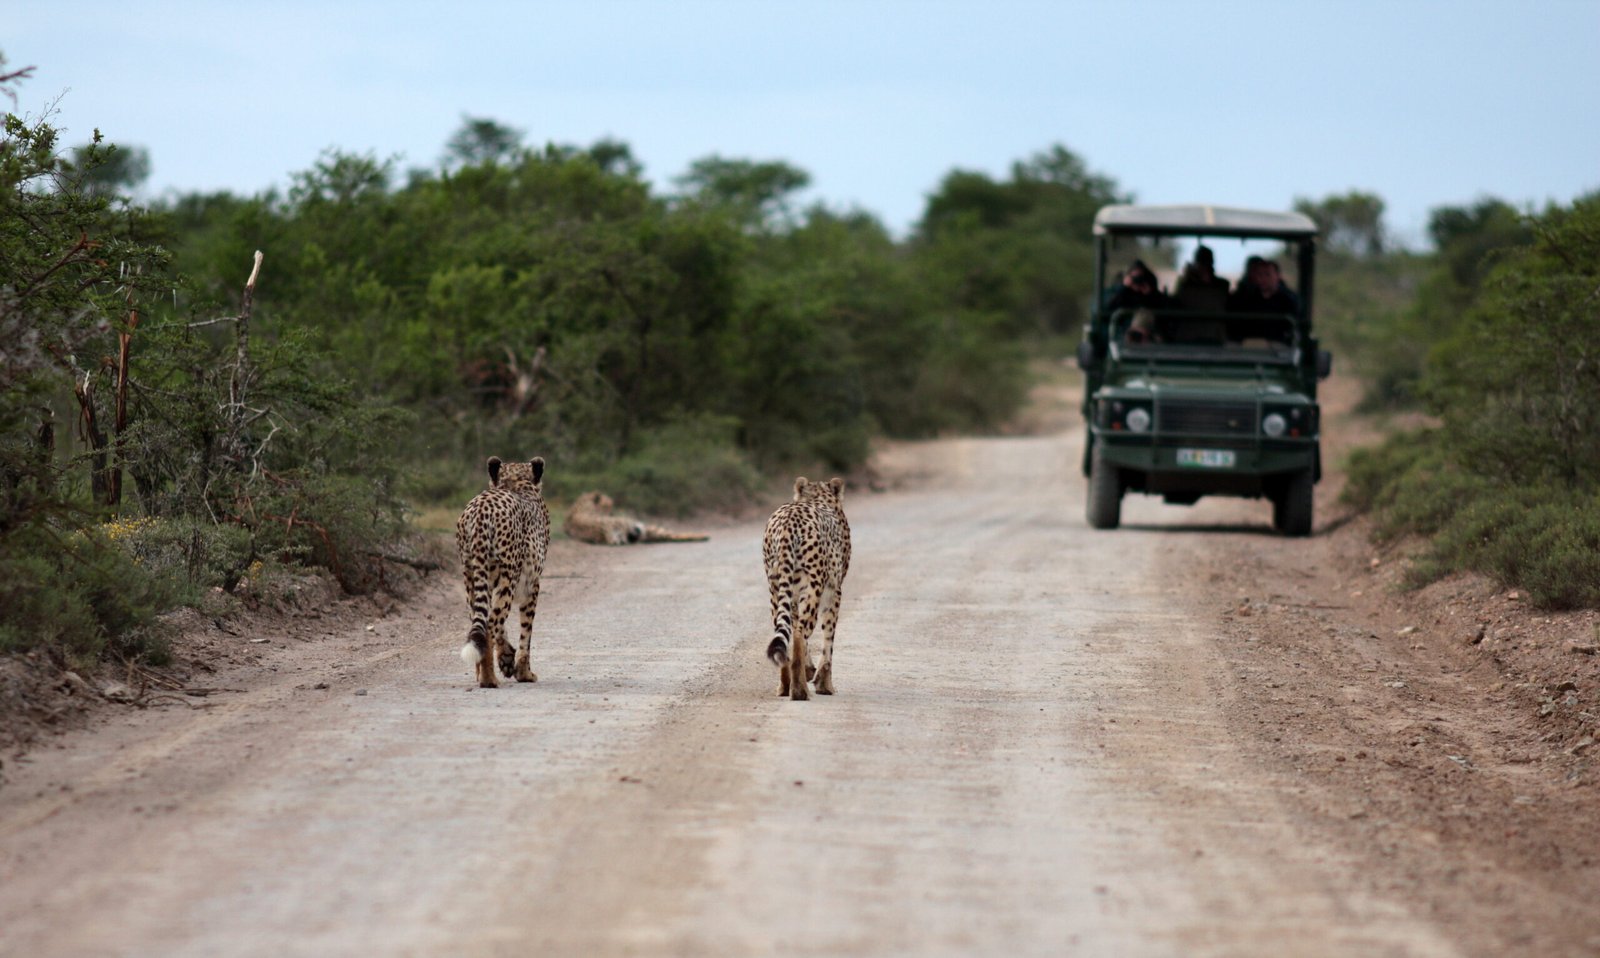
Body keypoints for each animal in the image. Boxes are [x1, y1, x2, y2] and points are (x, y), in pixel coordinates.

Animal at [454, 456, 550, 689]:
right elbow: (526, 633)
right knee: (490, 625)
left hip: (471, 577)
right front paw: (524, 673)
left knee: (480, 624)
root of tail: (482, 508)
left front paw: (507, 659)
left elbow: (500, 628)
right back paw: (488, 679)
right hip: (508, 577)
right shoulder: (532, 584)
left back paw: (482, 672)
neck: (515, 482)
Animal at [763, 476, 851, 701]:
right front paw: (824, 684)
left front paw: (812, 672)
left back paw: (785, 686)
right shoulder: (834, 591)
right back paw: (799, 690)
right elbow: (829, 640)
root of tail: (789, 520)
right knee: (799, 632)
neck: (818, 498)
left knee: (785, 631)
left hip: (775, 588)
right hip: (812, 587)